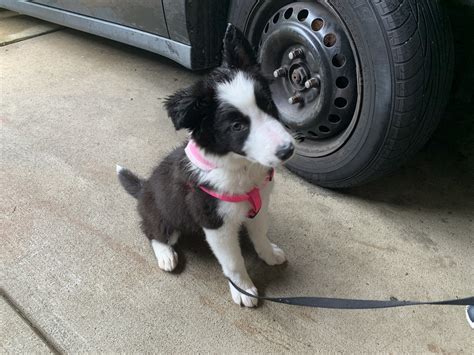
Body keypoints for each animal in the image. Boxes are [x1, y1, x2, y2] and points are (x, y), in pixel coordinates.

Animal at [117, 24, 294, 308]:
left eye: (267, 103)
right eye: (237, 126)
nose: (288, 150)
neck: (241, 167)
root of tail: (143, 188)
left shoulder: (260, 207)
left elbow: (260, 234)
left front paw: (269, 253)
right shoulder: (216, 224)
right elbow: (233, 262)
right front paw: (244, 290)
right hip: (164, 218)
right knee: (151, 232)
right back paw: (166, 255)